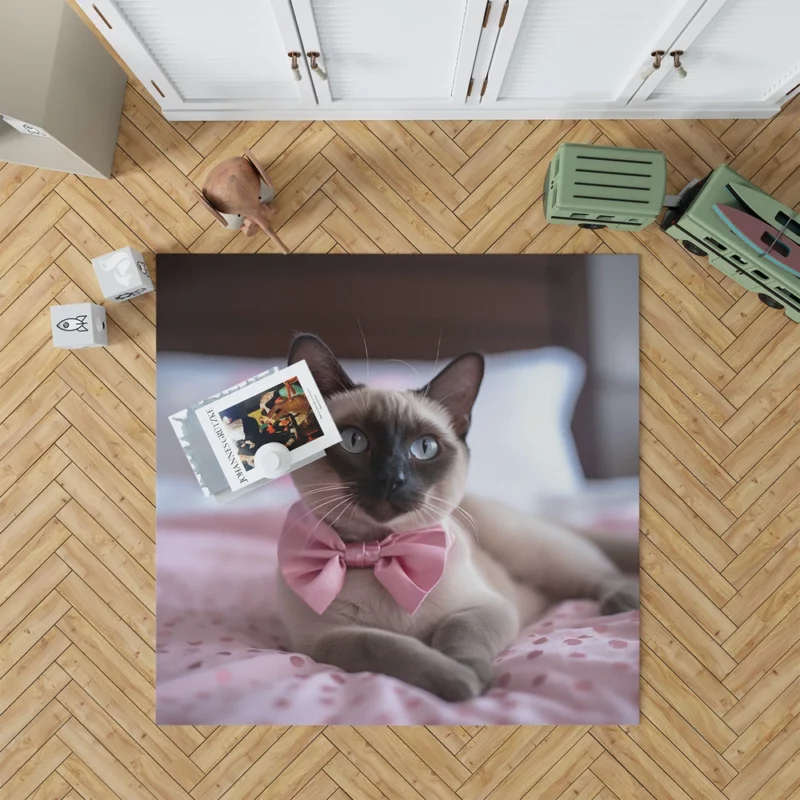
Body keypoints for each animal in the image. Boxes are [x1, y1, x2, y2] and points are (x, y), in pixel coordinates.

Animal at [276, 332, 636, 700]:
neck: (380, 552)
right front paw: (456, 679)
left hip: (531, 550)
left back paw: (623, 602)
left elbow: (456, 630)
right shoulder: (329, 639)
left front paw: (471, 674)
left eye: (424, 448)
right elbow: (390, 647)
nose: (392, 479)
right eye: (354, 441)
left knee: (600, 573)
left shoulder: (486, 608)